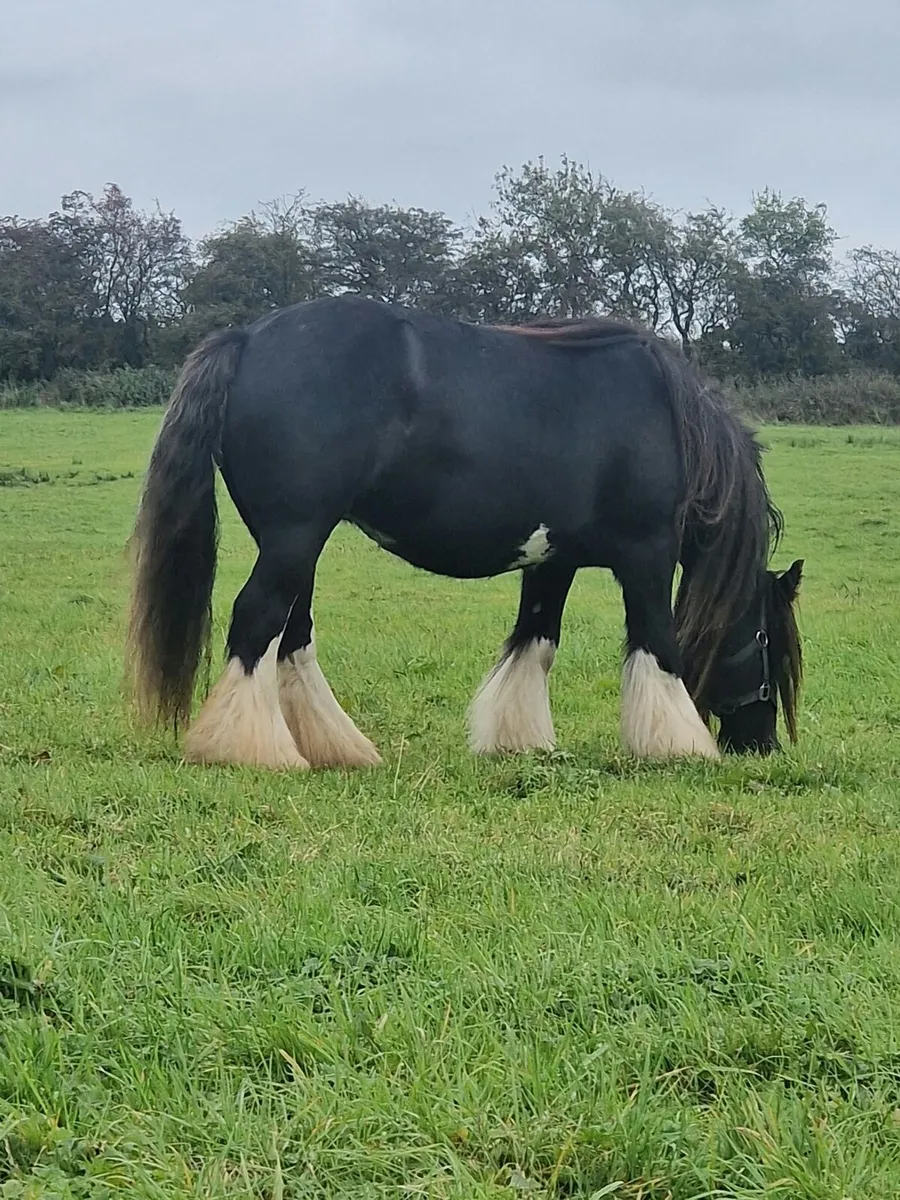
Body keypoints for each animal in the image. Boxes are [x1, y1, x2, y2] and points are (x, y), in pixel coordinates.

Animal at [125, 294, 803, 771]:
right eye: (765, 638)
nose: (762, 744)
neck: (667, 420)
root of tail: (246, 339)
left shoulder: (553, 561)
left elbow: (536, 641)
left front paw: (519, 741)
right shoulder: (648, 555)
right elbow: (656, 645)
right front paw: (677, 744)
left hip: (296, 543)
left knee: (292, 635)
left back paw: (335, 748)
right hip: (296, 535)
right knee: (258, 618)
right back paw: (251, 749)